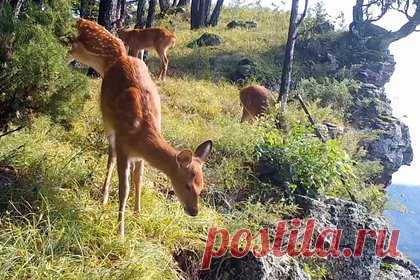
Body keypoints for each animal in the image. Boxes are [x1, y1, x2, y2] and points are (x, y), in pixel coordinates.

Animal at [70, 19, 213, 238]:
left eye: (201, 187)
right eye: (188, 185)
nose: (193, 211)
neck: (140, 134)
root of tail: (120, 57)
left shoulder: (140, 157)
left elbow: (139, 180)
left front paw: (137, 215)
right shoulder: (123, 147)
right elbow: (125, 188)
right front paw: (120, 232)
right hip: (107, 122)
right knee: (109, 157)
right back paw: (103, 197)